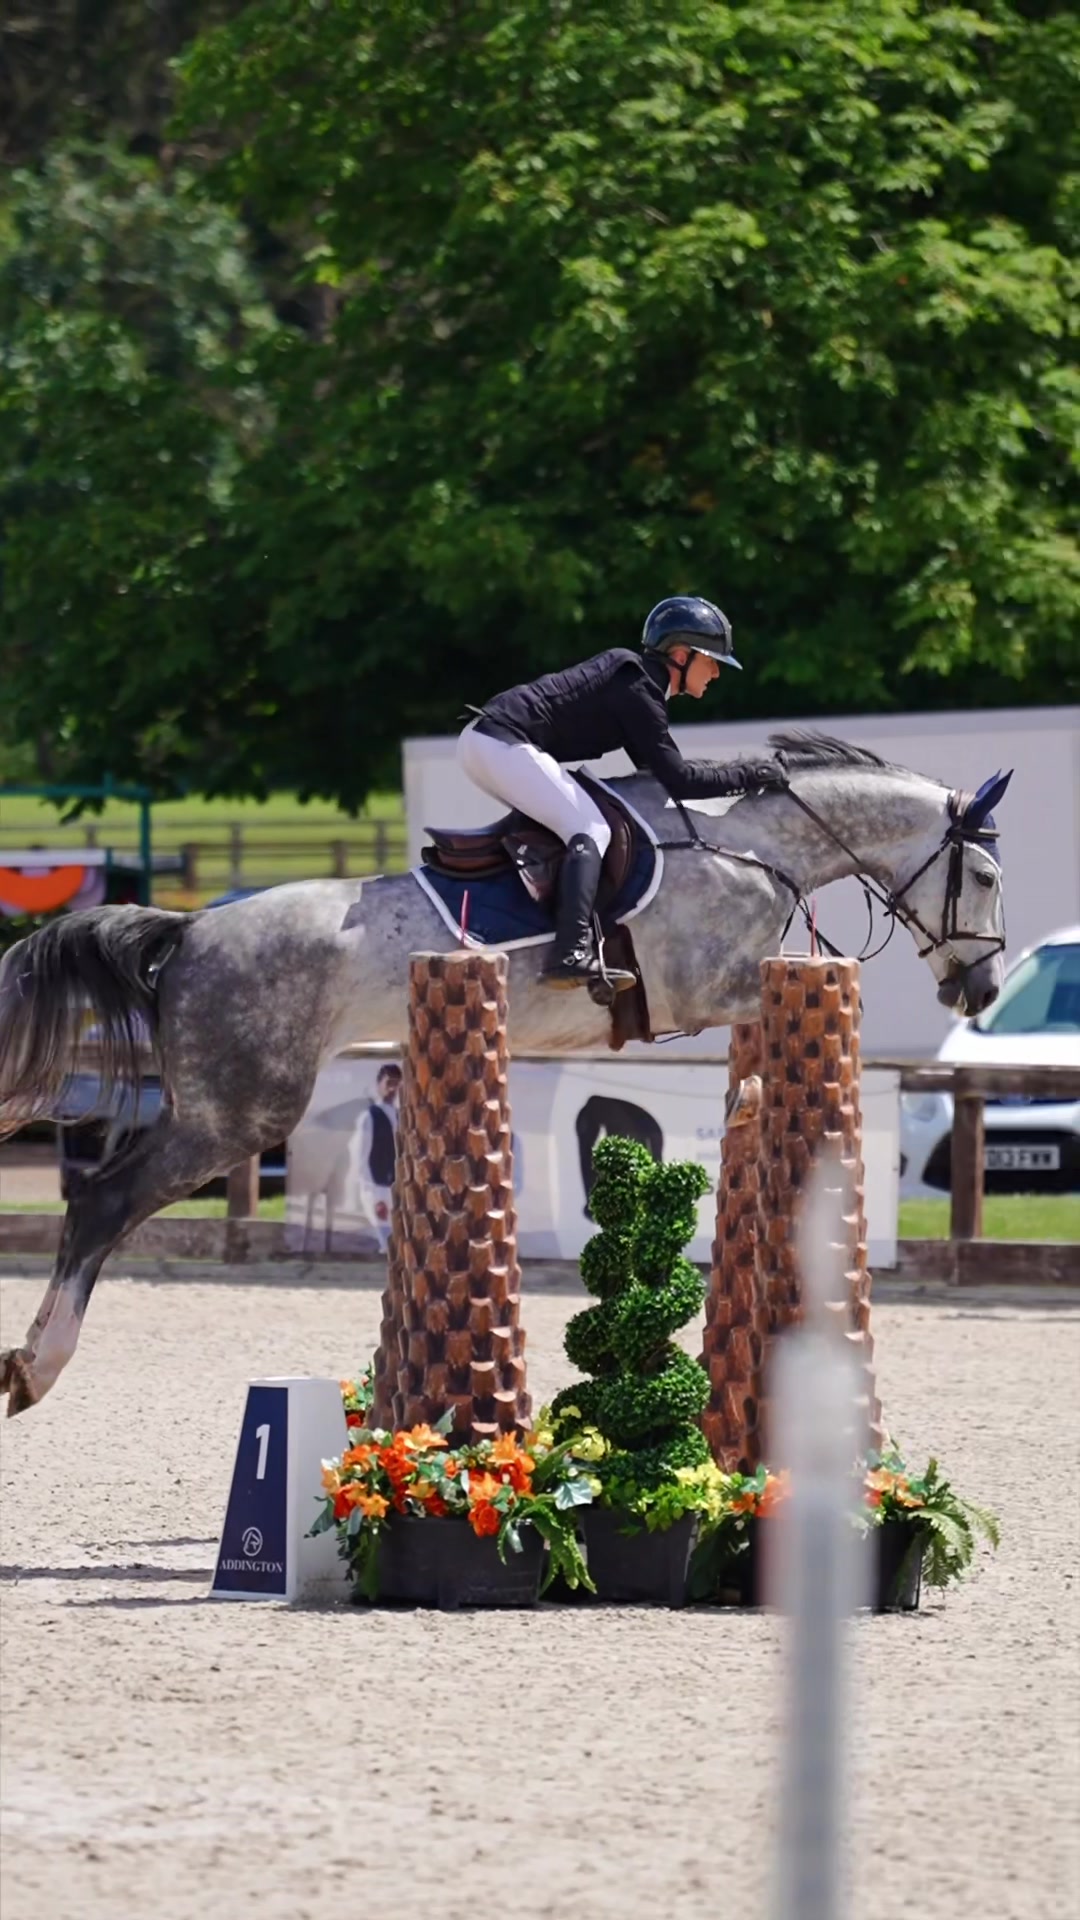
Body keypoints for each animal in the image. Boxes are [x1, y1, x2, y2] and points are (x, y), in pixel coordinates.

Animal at [0, 733, 1011, 1416]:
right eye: (988, 878)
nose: (984, 987)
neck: (752, 844)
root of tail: (190, 928)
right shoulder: (705, 988)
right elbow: (772, 1023)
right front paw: (751, 1109)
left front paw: (748, 1113)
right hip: (239, 1112)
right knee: (102, 1201)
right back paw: (37, 1368)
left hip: (224, 1105)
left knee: (99, 1195)